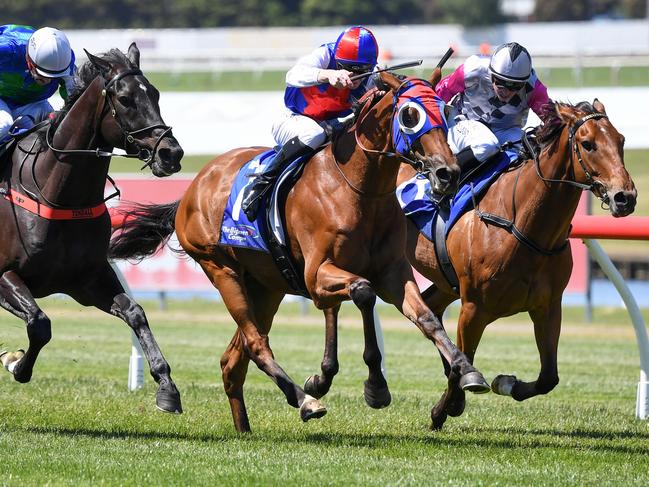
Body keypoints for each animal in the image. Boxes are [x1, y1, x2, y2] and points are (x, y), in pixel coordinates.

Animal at [0, 43, 184, 414]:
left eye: (155, 93)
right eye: (125, 98)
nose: (171, 154)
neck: (57, 193)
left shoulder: (86, 280)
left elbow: (135, 313)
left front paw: (166, 387)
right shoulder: (3, 275)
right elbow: (40, 324)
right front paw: (16, 364)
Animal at [109, 70, 492, 432]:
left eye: (445, 111)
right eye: (410, 115)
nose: (448, 172)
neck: (359, 189)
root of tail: (193, 188)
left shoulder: (392, 274)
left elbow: (425, 317)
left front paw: (466, 369)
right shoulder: (318, 274)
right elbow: (362, 292)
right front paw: (367, 385)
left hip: (266, 287)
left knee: (233, 361)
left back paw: (244, 428)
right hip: (221, 269)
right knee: (255, 343)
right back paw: (305, 401)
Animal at [306, 96, 636, 430]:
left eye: (621, 140)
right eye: (588, 144)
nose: (625, 197)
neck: (524, 225)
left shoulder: (548, 307)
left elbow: (548, 378)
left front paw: (505, 383)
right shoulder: (474, 308)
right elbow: (463, 362)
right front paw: (444, 407)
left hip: (442, 282)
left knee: (430, 308)